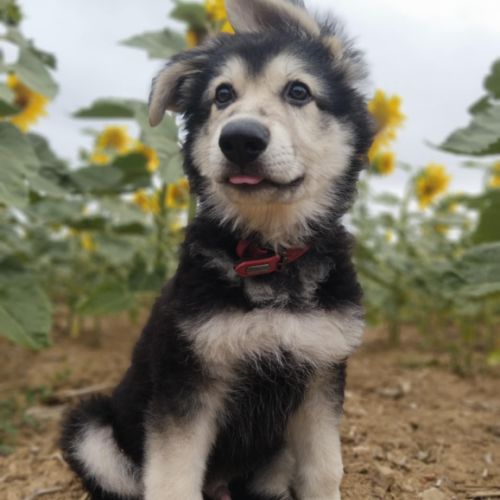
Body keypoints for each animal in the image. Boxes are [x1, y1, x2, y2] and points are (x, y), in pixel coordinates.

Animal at [60, 1, 374, 499]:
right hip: (90, 427)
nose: (240, 138)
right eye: (222, 95)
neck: (266, 255)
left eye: (299, 91)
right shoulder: (187, 382)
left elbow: (324, 470)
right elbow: (172, 478)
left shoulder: (321, 374)